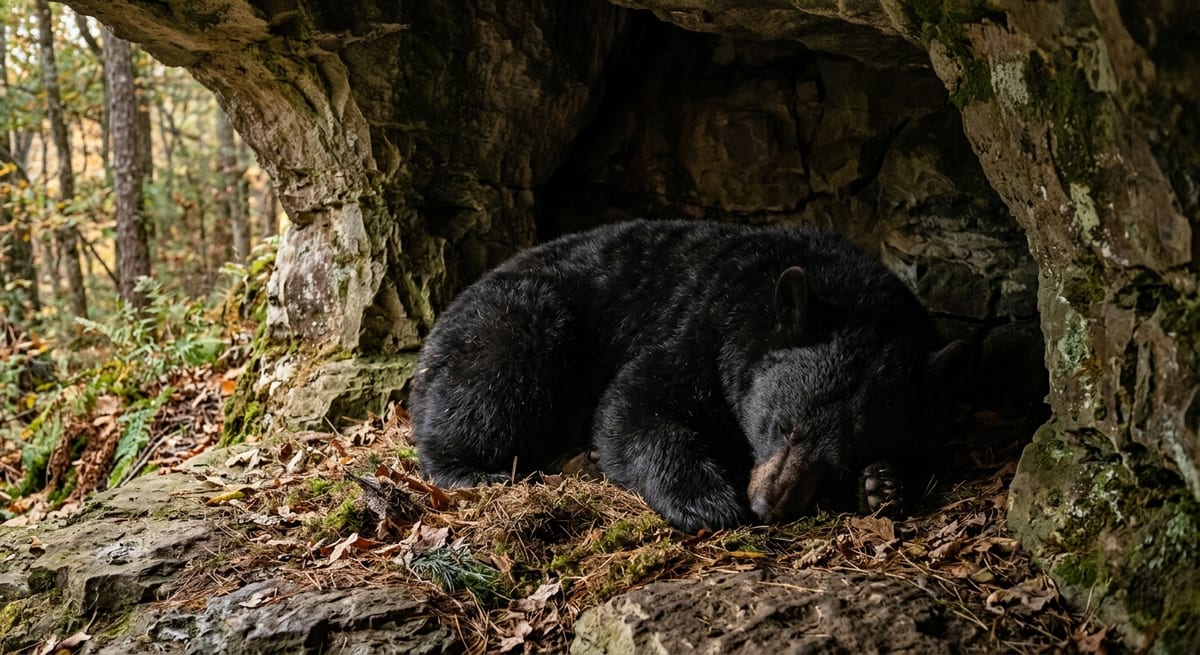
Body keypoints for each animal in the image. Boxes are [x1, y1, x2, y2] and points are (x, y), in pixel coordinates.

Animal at [408, 220, 966, 533]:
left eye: (843, 459)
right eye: (783, 426)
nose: (768, 504)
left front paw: (882, 485)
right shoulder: (701, 321)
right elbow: (637, 404)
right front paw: (708, 502)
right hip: (514, 320)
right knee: (493, 382)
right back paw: (476, 470)